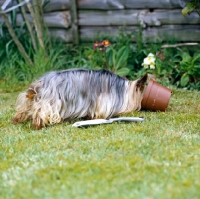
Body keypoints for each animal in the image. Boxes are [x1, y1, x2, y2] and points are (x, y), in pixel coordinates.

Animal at [12, 69, 147, 130]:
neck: (123, 90)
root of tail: (41, 83)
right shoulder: (104, 102)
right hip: (51, 101)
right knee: (41, 111)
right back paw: (39, 125)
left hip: (30, 99)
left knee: (23, 108)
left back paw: (16, 120)